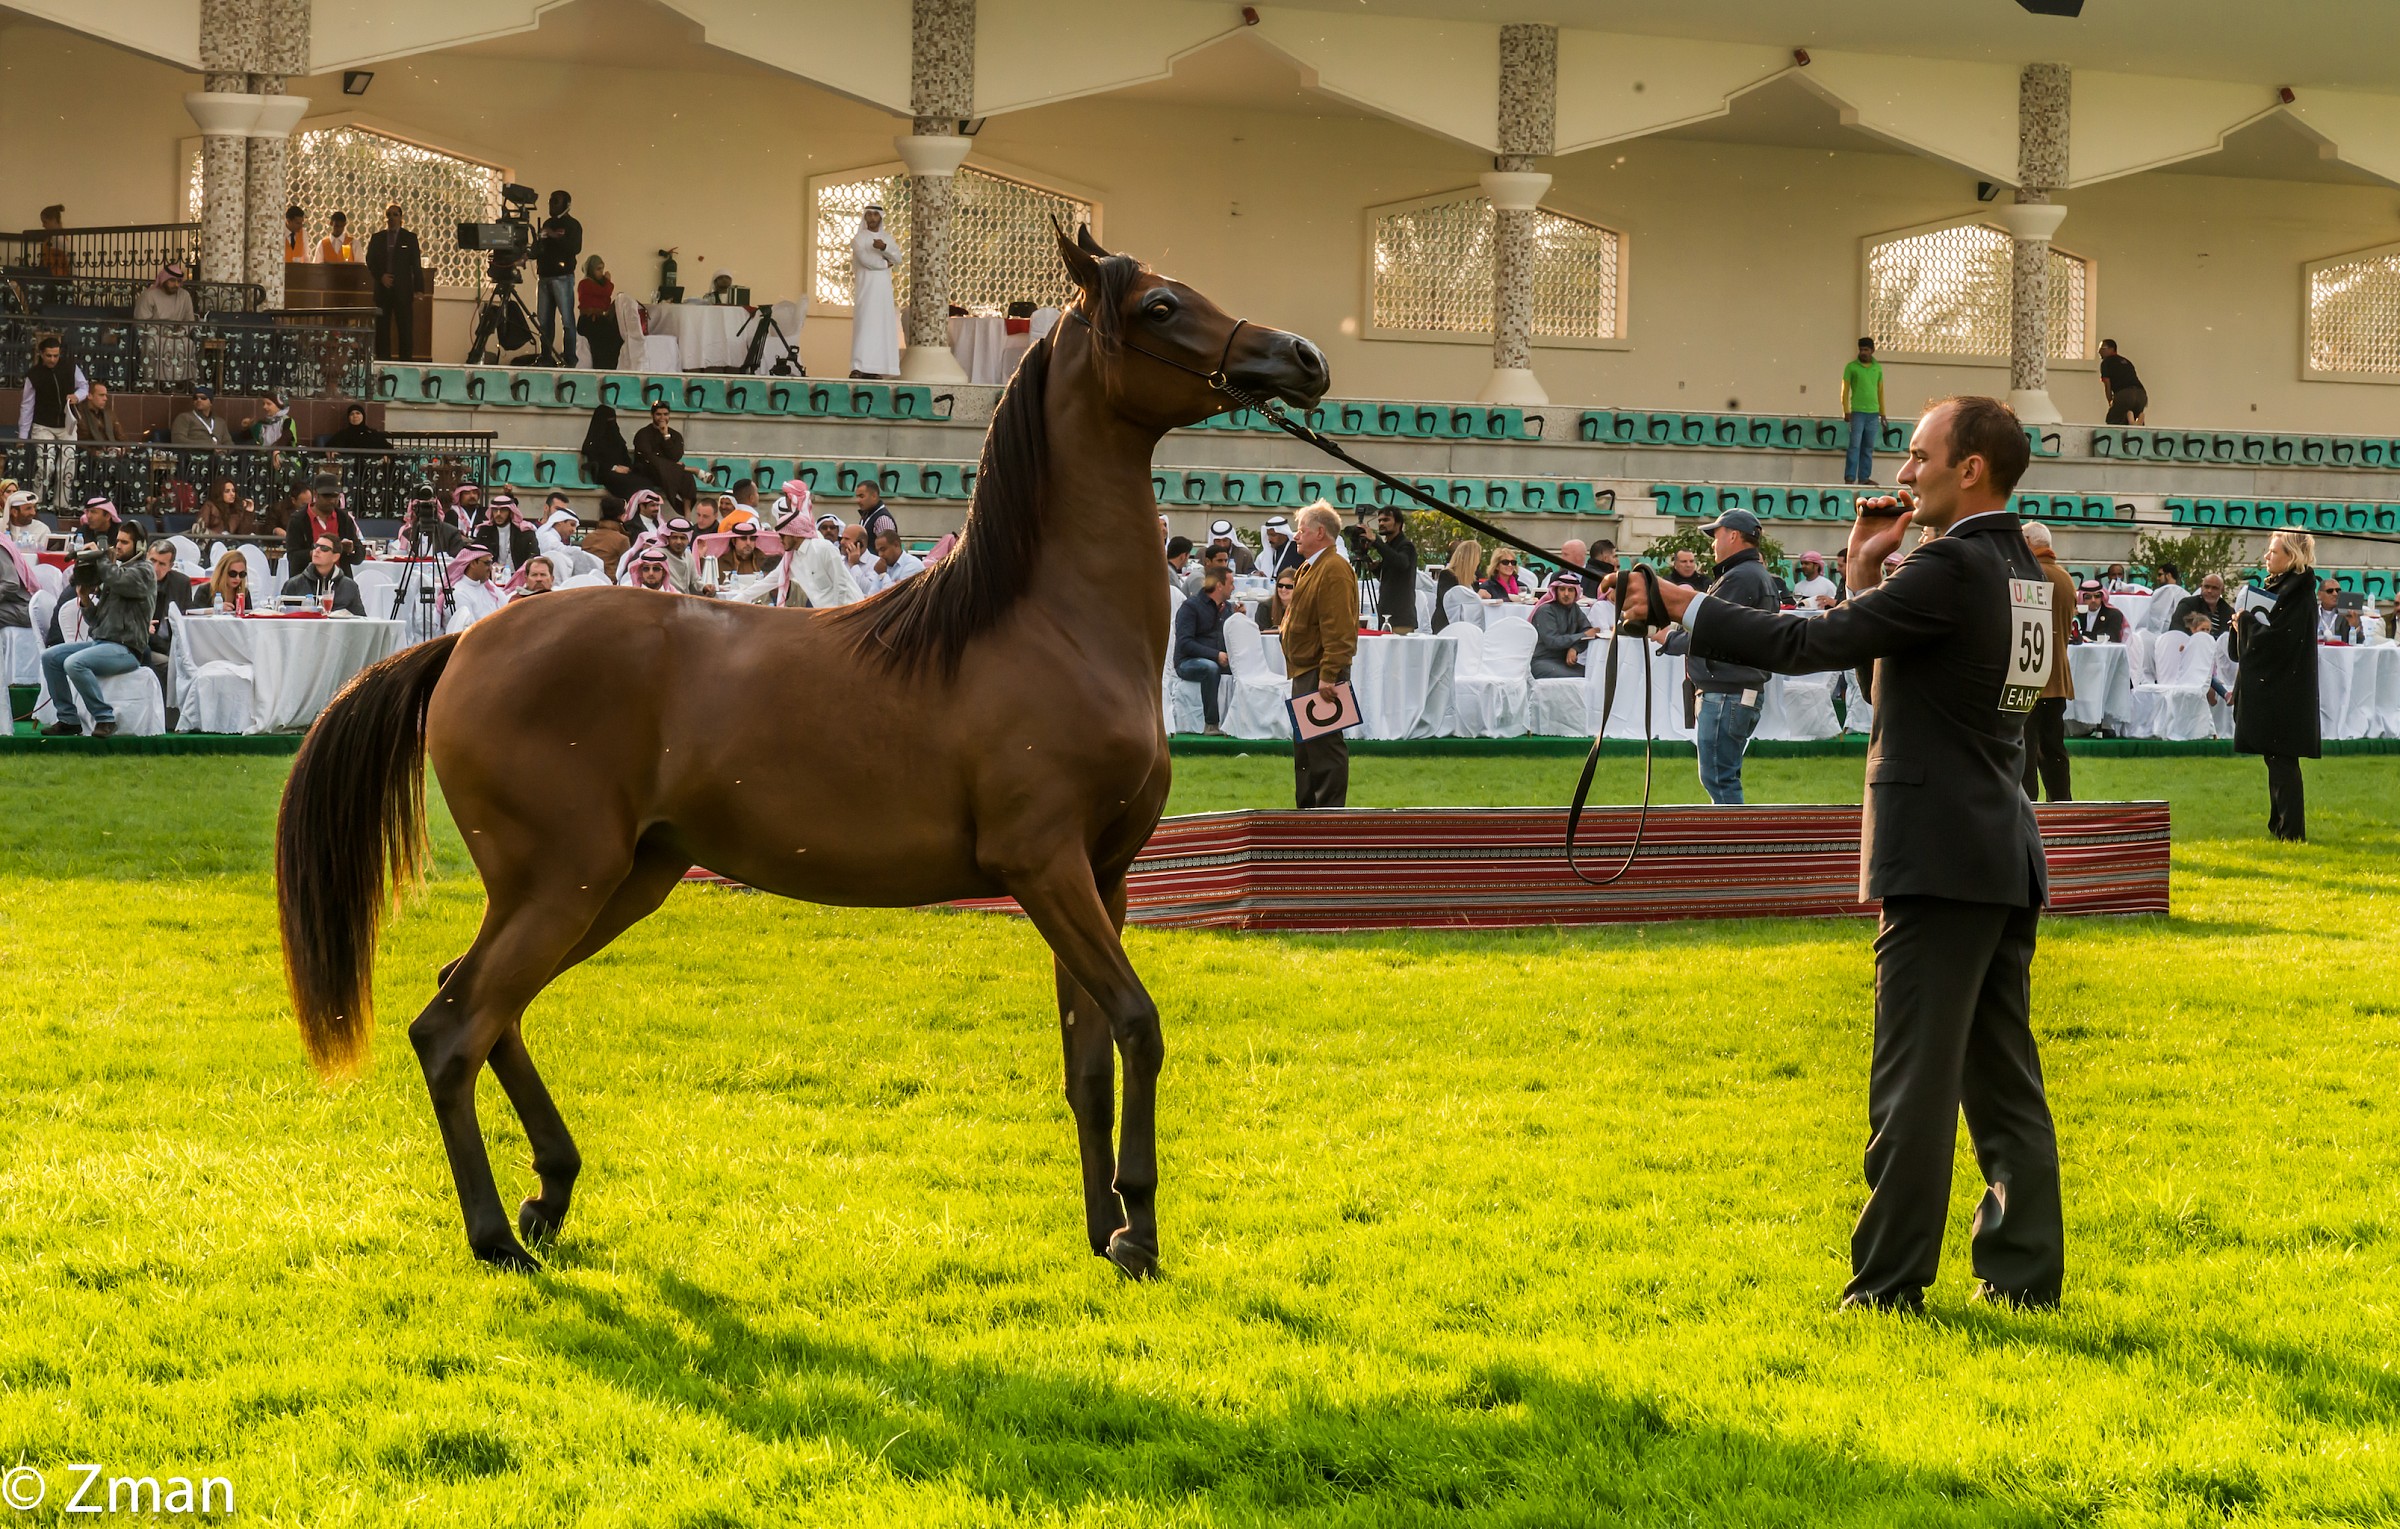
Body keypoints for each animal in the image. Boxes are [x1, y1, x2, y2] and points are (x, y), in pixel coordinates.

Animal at [275, 226, 1329, 1279]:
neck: (1050, 625)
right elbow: (1140, 1026)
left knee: (480, 1007)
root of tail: (464, 643)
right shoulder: (1046, 869)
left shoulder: (1099, 879)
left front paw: (1103, 1227)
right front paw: (1139, 1231)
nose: (1302, 357)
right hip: (562, 885)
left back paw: (551, 1191)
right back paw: (498, 1233)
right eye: (1159, 306)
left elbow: (1090, 1062)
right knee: (454, 1029)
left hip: (618, 883)